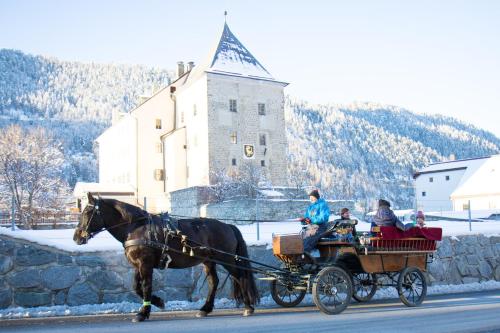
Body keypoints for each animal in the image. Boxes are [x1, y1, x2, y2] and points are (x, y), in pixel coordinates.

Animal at [74, 193, 262, 320]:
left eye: (87, 212)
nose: (77, 237)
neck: (136, 227)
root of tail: (228, 226)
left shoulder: (145, 263)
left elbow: (146, 286)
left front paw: (144, 312)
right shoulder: (137, 264)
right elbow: (136, 287)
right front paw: (157, 302)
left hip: (227, 259)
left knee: (240, 276)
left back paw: (248, 306)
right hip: (209, 261)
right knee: (213, 282)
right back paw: (205, 308)